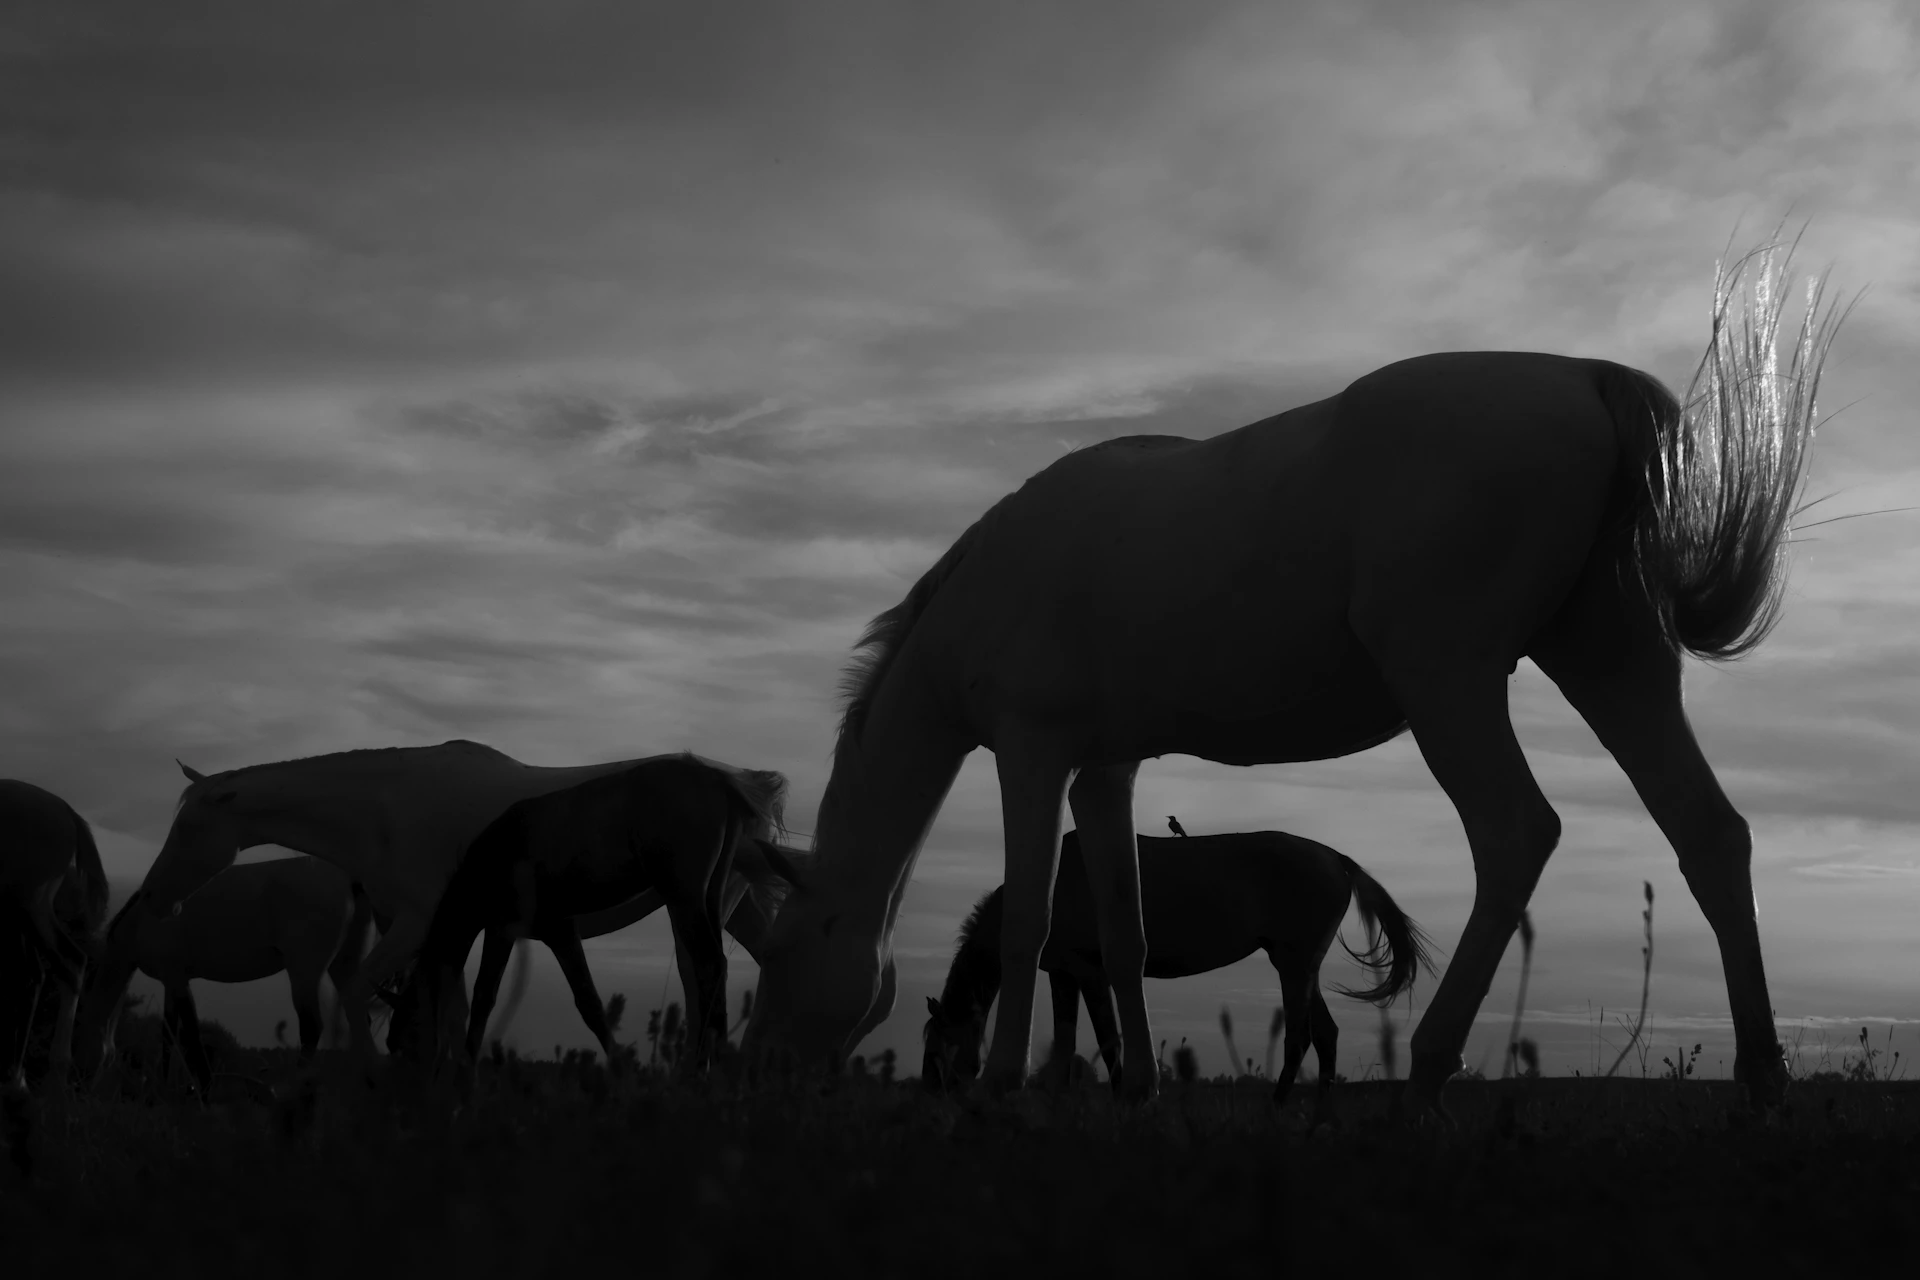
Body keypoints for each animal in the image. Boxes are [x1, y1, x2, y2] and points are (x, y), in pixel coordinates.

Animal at [0, 780, 108, 1090]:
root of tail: (66, 811)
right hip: (20, 914)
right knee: (32, 974)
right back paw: (17, 1078)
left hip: (31, 907)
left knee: (70, 963)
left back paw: (56, 1072)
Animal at [81, 856, 375, 1095]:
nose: (78, 1086)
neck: (142, 921)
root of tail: (347, 879)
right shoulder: (170, 981)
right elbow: (168, 1034)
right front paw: (163, 1087)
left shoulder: (177, 980)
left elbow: (191, 1033)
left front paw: (204, 1090)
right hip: (343, 966)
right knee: (360, 1019)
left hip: (304, 970)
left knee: (312, 1026)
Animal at [397, 754, 793, 1075]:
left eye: (406, 1033)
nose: (409, 1079)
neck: (497, 852)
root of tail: (719, 778)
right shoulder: (557, 933)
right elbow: (589, 1001)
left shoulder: (508, 928)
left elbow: (485, 996)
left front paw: (466, 1069)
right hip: (710, 896)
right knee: (716, 969)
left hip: (685, 896)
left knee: (707, 965)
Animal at [920, 829, 1434, 1117]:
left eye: (941, 1041)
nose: (931, 1091)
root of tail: (1336, 859)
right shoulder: (1063, 975)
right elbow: (1066, 1045)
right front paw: (1060, 1103)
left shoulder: (1090, 972)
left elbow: (1108, 1040)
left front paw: (1126, 1100)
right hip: (1298, 965)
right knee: (1325, 1034)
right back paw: (1319, 1113)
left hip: (1293, 965)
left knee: (1300, 1036)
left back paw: (1274, 1109)